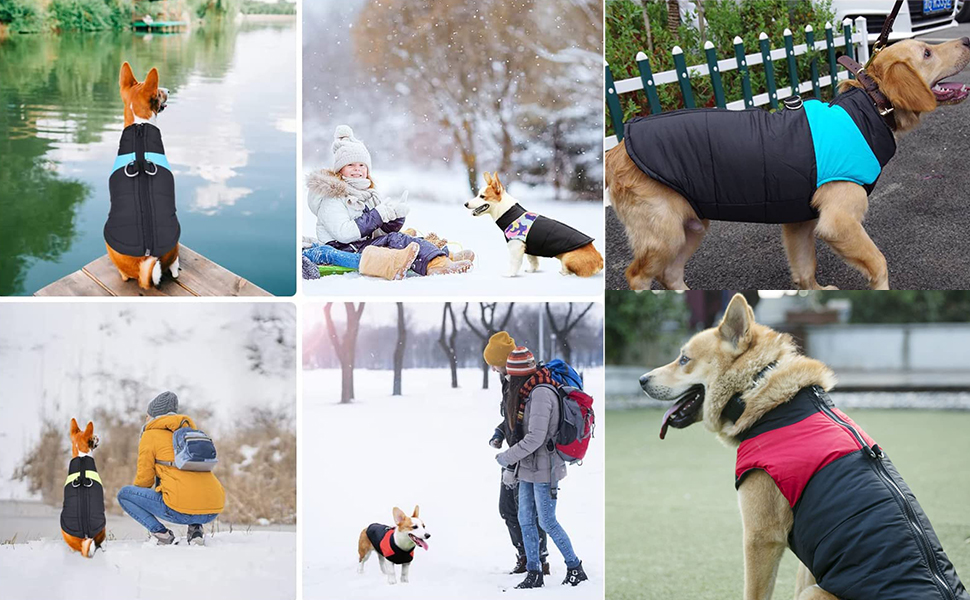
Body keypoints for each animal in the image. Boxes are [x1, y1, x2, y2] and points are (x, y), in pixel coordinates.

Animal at [464, 172, 604, 278]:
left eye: (482, 196)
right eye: (478, 194)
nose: (465, 204)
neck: (508, 212)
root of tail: (600, 261)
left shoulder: (516, 246)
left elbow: (514, 262)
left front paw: (510, 274)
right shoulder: (530, 248)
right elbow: (533, 261)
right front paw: (532, 271)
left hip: (568, 258)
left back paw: (564, 272)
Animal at [604, 37, 968, 290]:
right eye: (926, 53)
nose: (965, 40)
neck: (869, 104)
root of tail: (618, 149)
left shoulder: (800, 220)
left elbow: (805, 269)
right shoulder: (838, 220)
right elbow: (878, 264)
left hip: (690, 225)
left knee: (670, 274)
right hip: (663, 232)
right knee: (637, 276)